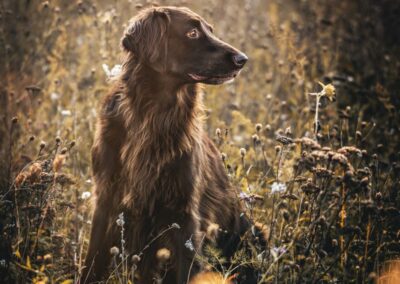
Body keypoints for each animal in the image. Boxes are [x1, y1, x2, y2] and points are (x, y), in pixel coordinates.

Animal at [82, 6, 260, 284]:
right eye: (192, 32)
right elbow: (92, 262)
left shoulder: (183, 213)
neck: (154, 116)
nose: (243, 59)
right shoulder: (106, 198)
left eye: (210, 29)